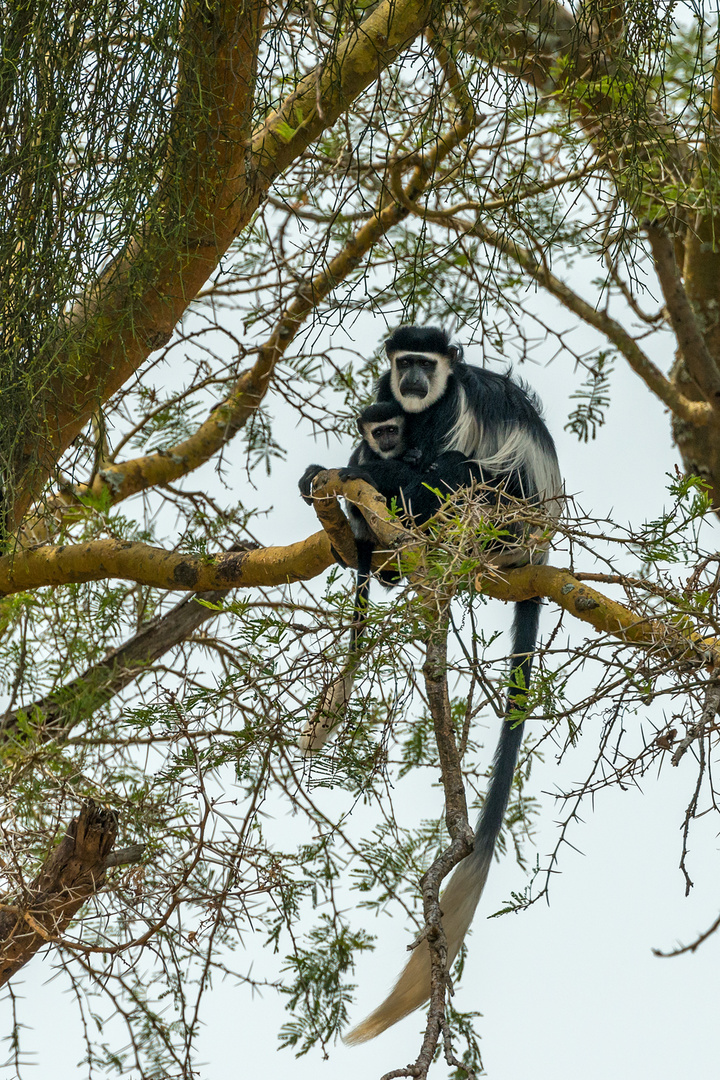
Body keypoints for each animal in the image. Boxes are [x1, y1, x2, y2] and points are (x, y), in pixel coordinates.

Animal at [343, 324, 561, 1041]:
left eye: (426, 364)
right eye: (403, 362)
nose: (412, 379)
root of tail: (536, 549)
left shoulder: (450, 410)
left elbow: (436, 461)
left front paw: (368, 473)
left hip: (507, 511)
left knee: (462, 475)